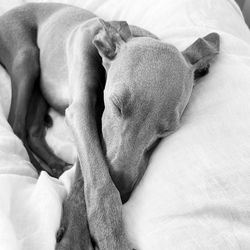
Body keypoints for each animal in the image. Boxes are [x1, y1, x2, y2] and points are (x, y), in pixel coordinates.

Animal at [0, 2, 219, 250]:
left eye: (167, 131)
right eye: (116, 105)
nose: (122, 190)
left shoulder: (94, 118)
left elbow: (85, 174)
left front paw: (75, 232)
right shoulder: (82, 110)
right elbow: (98, 177)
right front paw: (109, 235)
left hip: (40, 88)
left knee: (34, 130)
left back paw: (56, 165)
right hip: (26, 58)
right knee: (16, 124)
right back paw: (38, 169)